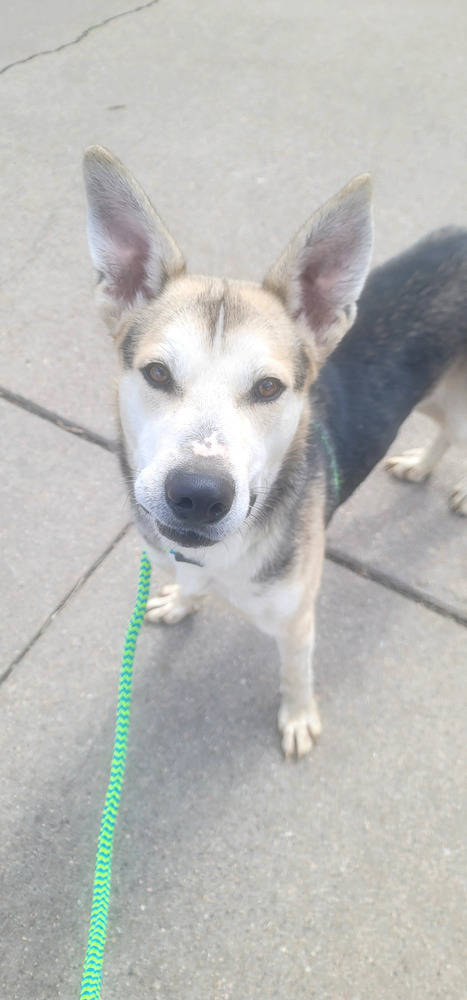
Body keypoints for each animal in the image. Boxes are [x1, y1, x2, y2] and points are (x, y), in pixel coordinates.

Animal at [82, 146, 466, 756]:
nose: (198, 496)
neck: (220, 555)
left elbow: (295, 672)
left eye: (268, 388)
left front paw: (298, 717)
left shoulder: (296, 619)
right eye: (157, 373)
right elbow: (188, 587)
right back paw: (421, 466)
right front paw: (183, 602)